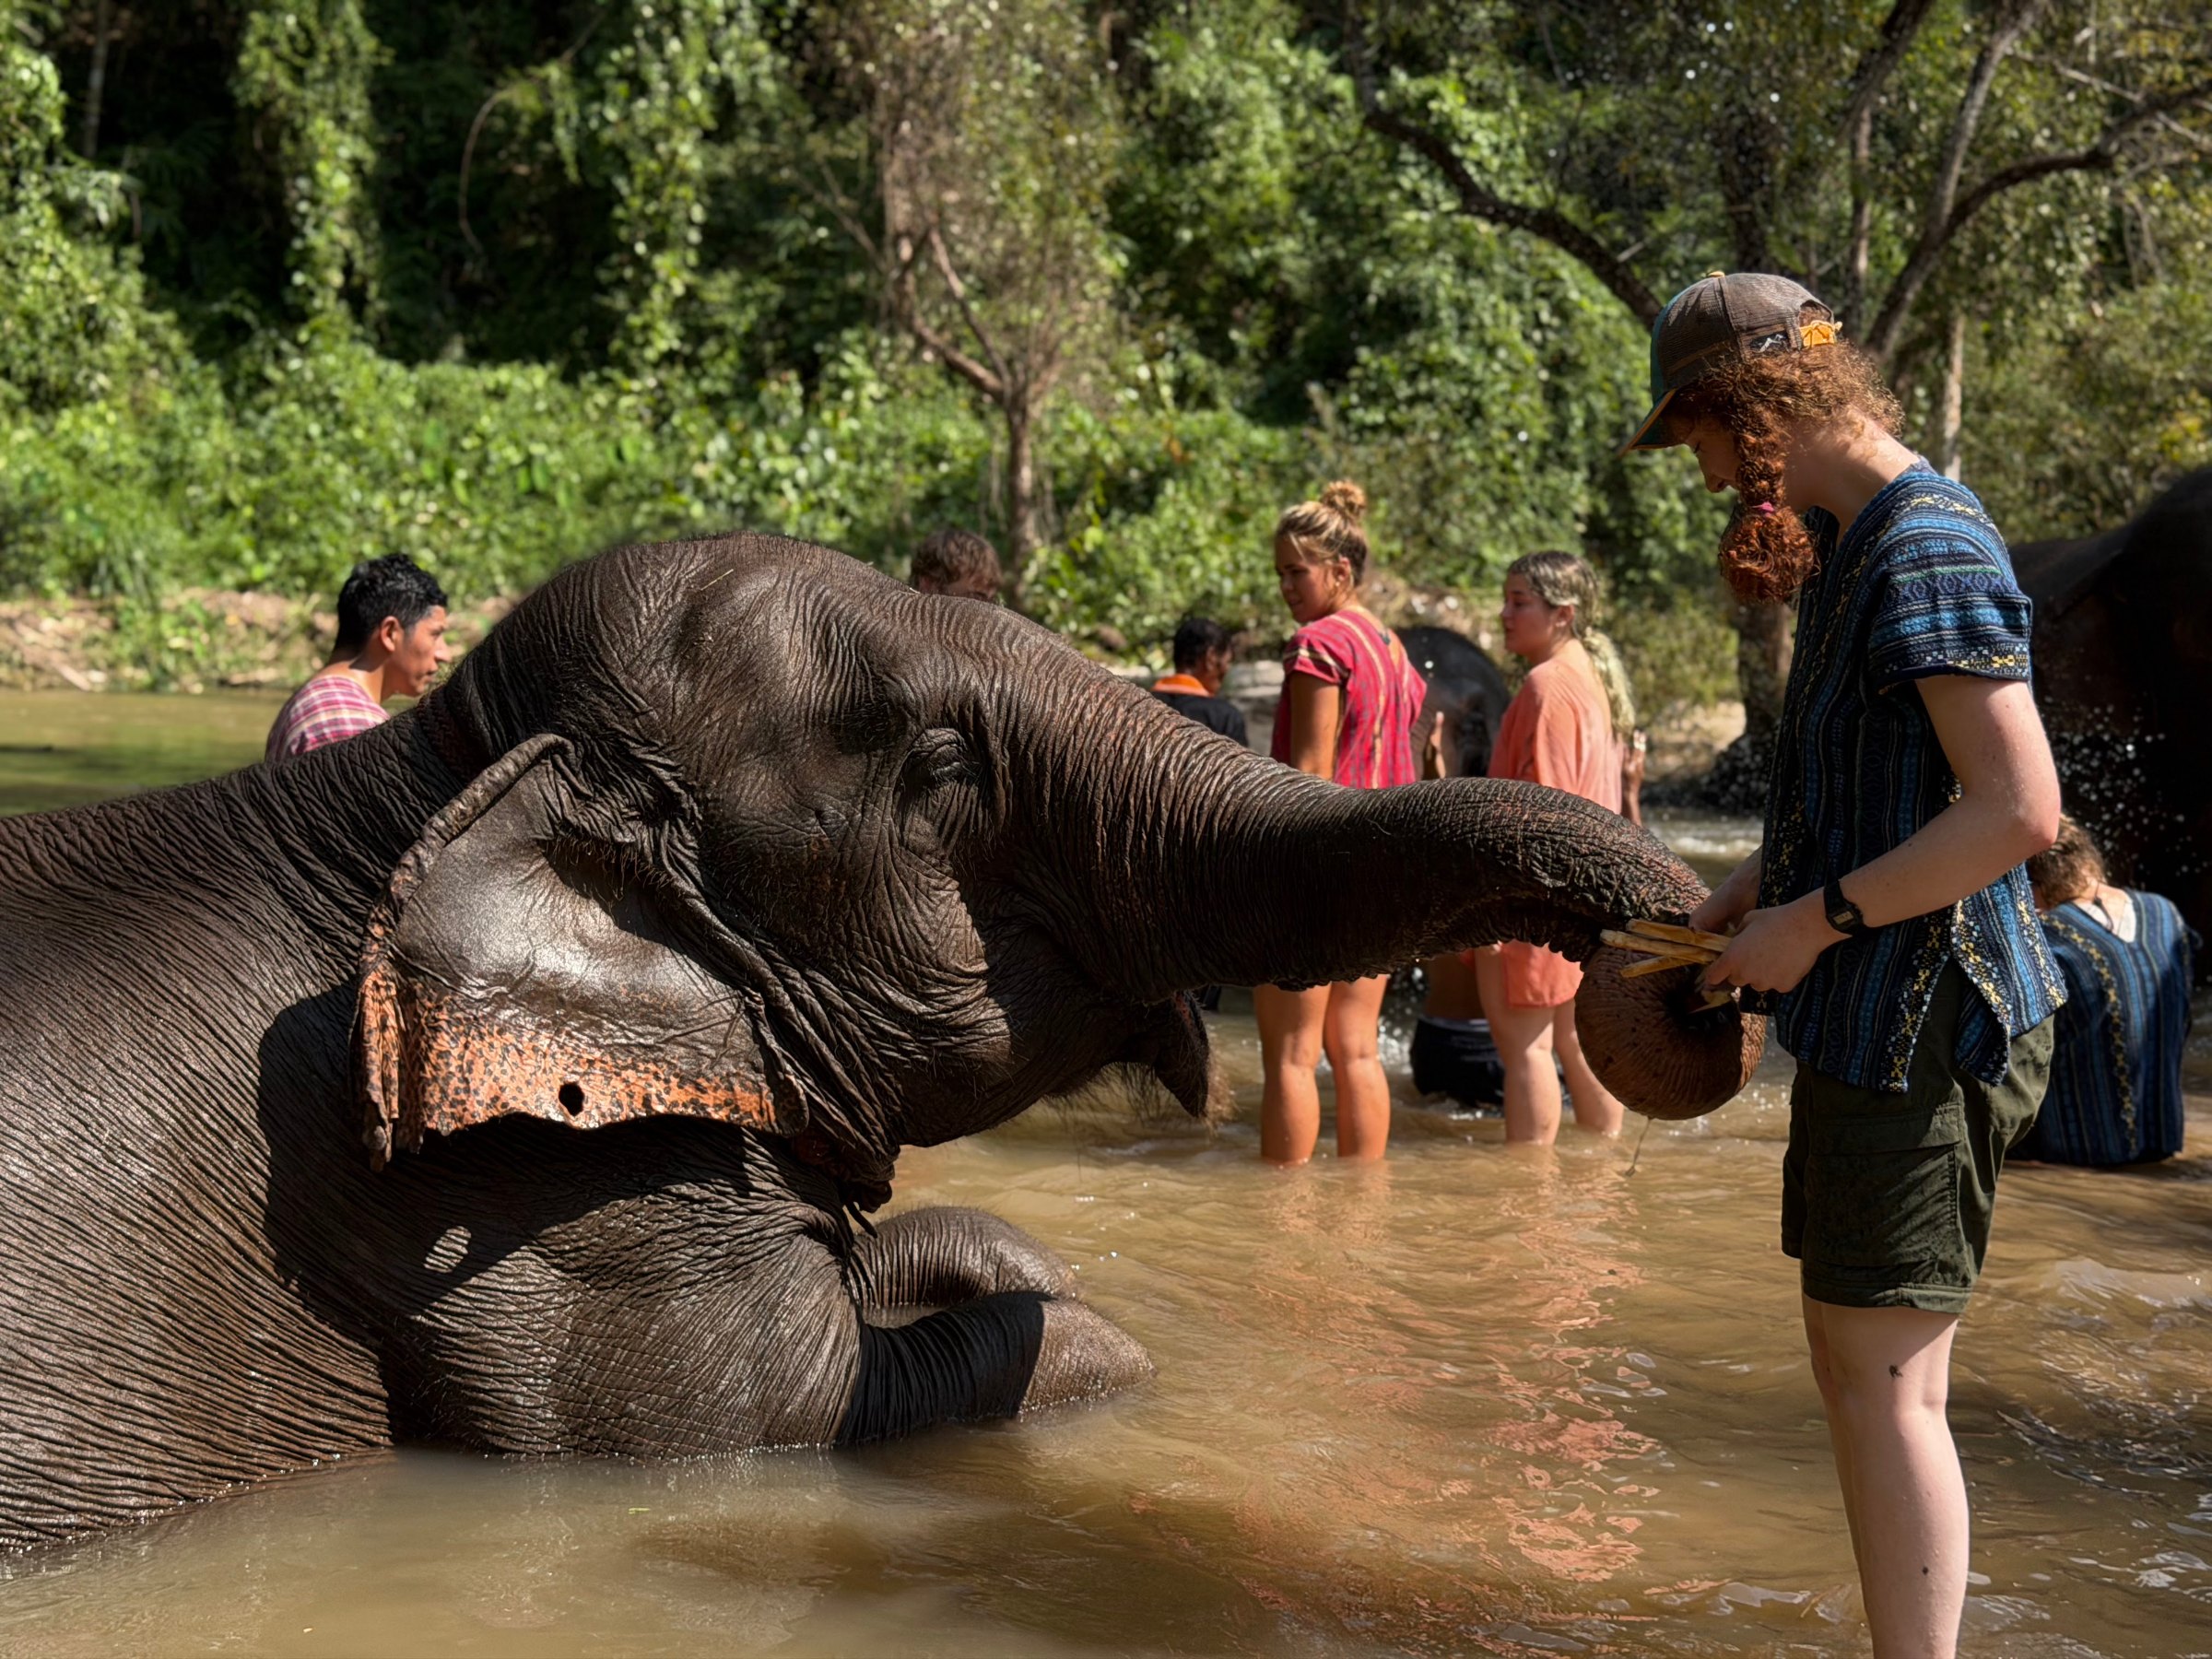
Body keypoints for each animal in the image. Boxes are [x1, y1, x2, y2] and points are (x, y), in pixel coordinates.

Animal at [0, 532, 1755, 1550]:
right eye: (943, 765)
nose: (1685, 973)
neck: (419, 783)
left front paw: (986, 1258)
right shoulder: (511, 1201)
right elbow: (775, 1408)